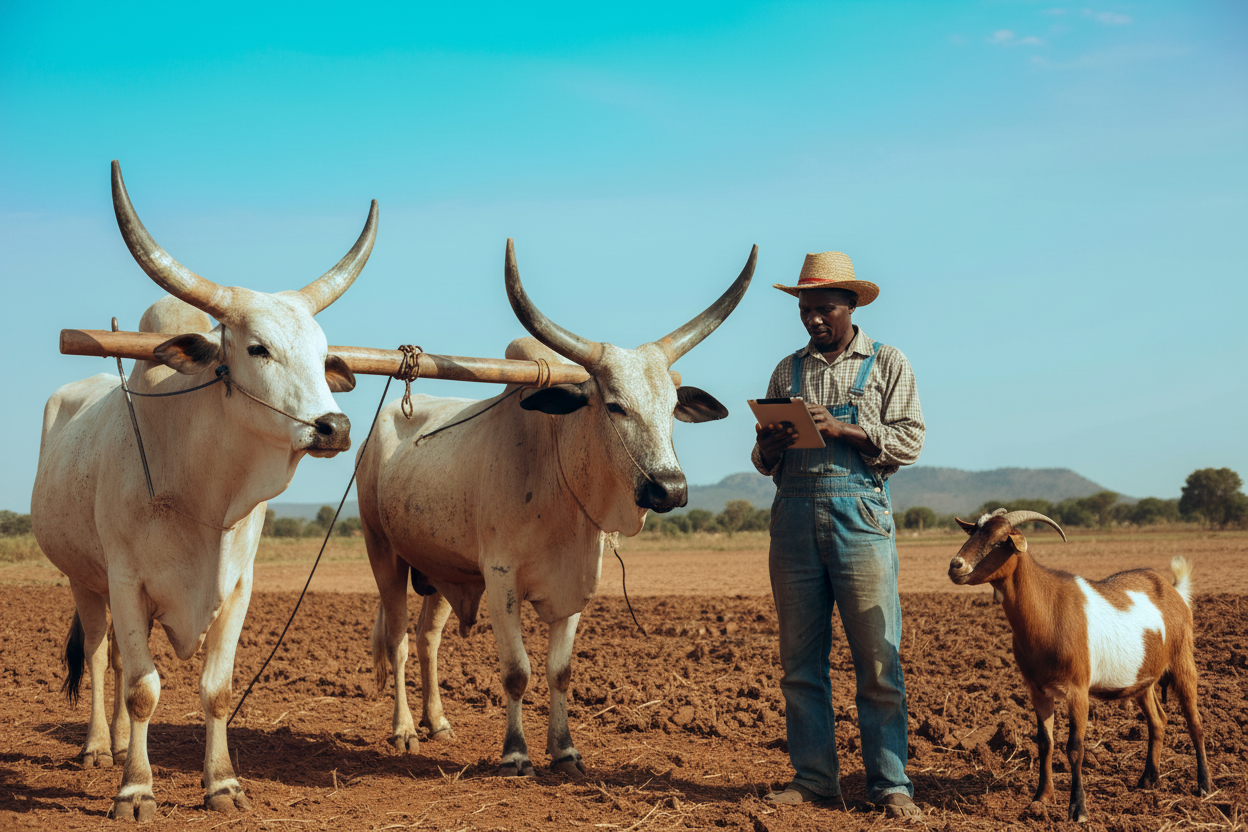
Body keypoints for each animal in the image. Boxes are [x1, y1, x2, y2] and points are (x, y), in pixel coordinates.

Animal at [31, 161, 374, 821]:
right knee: (99, 655)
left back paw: (118, 744)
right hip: (85, 578)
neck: (200, 490)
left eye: (323, 355)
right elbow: (143, 689)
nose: (335, 428)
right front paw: (136, 790)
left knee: (117, 659)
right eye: (258, 348)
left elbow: (216, 689)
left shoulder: (238, 586)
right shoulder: (127, 580)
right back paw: (98, 749)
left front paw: (222, 784)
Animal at [356, 239, 755, 778]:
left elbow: (559, 672)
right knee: (397, 641)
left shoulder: (575, 586)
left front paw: (564, 750)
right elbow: (517, 672)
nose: (669, 489)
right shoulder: (501, 578)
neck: (555, 477)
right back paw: (404, 730)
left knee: (426, 639)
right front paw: (515, 752)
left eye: (673, 407)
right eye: (615, 405)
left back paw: (437, 722)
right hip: (384, 554)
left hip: (440, 569)